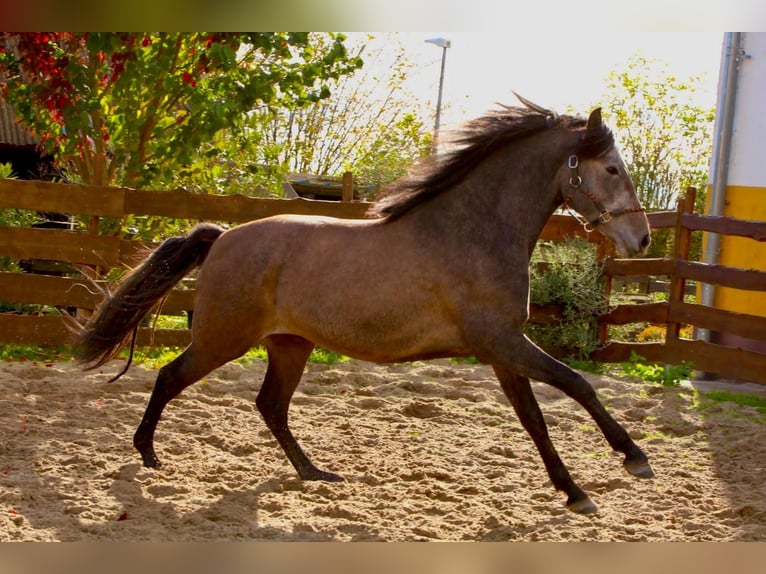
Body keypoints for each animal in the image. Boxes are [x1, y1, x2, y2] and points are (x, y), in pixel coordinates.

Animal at [74, 95, 653, 514]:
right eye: (612, 168)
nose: (642, 238)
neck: (472, 232)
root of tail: (222, 238)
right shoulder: (503, 342)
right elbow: (576, 385)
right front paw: (633, 460)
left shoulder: (501, 349)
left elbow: (535, 417)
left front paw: (575, 491)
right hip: (223, 340)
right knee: (171, 377)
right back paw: (148, 454)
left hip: (289, 345)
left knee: (270, 405)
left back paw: (313, 472)